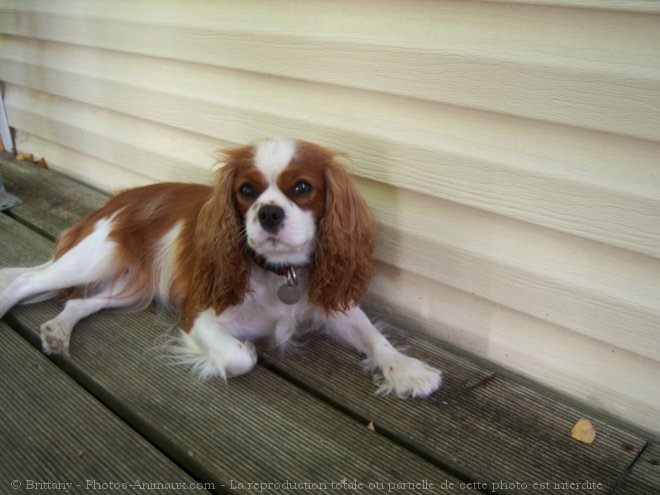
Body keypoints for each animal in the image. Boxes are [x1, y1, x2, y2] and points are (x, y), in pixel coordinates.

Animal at [1, 137, 444, 400]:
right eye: (246, 191)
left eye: (302, 188)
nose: (268, 213)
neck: (278, 272)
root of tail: (116, 200)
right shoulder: (200, 314)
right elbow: (238, 358)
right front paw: (247, 348)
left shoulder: (328, 300)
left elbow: (371, 334)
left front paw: (406, 369)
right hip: (95, 255)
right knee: (25, 281)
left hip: (131, 283)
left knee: (81, 303)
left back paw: (58, 332)